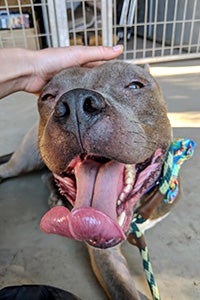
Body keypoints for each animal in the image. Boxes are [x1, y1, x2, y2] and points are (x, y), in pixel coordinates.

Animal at [0, 62, 180, 298]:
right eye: (47, 96)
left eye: (135, 85)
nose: (75, 103)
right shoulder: (105, 253)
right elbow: (123, 291)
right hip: (24, 160)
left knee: (46, 174)